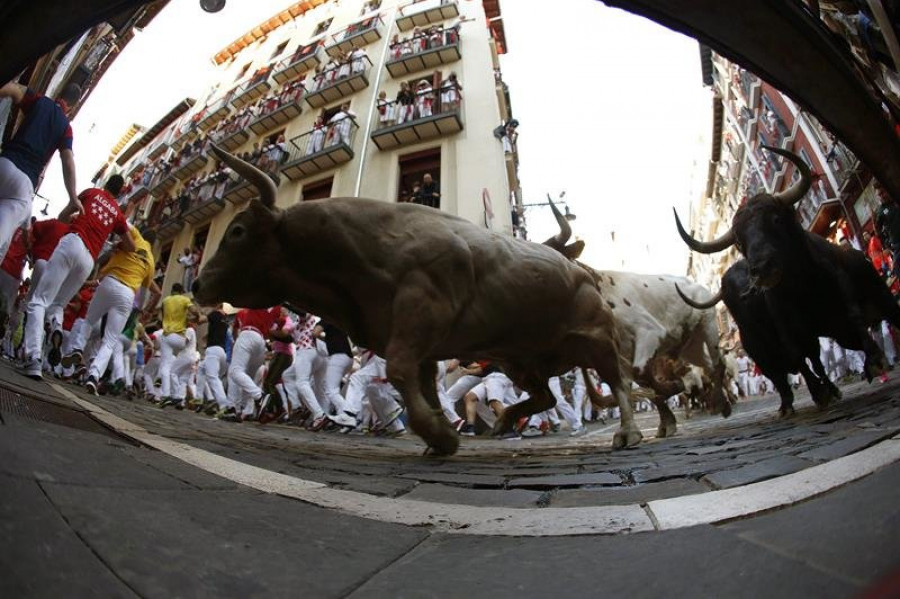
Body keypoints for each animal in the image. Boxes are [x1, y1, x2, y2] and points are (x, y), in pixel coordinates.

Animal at [676, 146, 900, 418]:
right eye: (739, 241)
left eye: (775, 219)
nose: (760, 271)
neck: (803, 285)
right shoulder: (774, 340)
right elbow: (793, 362)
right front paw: (814, 394)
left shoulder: (839, 294)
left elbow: (852, 317)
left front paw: (874, 362)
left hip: (880, 302)